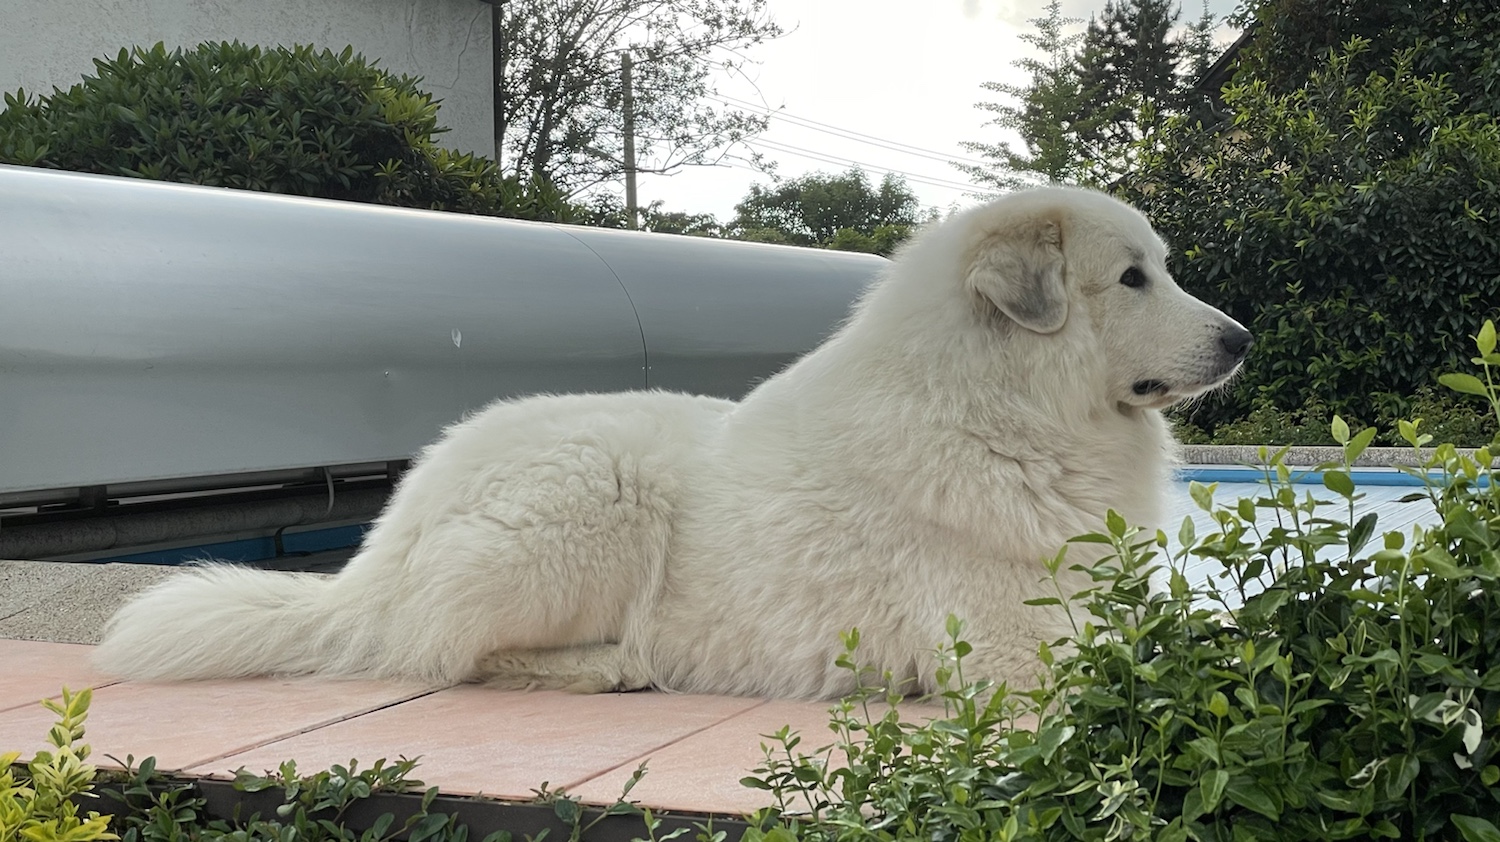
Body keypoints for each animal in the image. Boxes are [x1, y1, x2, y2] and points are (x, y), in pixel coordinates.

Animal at [94, 187, 1251, 699]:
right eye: (1132, 278)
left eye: (1161, 267)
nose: (1242, 338)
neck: (999, 412)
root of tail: (385, 542)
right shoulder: (1024, 655)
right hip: (600, 491)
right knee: (454, 652)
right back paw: (620, 662)